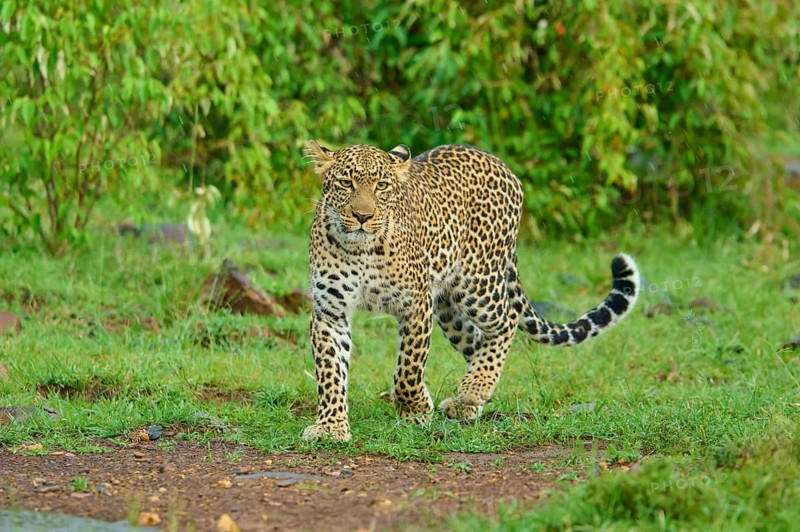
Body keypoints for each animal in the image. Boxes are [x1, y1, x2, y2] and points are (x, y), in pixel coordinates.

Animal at [302, 141, 640, 442]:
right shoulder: (330, 312)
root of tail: (502, 165)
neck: (360, 250)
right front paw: (331, 426)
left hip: (478, 285)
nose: (363, 216)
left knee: (508, 321)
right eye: (346, 182)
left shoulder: (416, 305)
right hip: (449, 309)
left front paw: (416, 408)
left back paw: (473, 390)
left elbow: (409, 367)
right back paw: (470, 399)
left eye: (382, 185)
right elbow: (330, 371)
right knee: (476, 343)